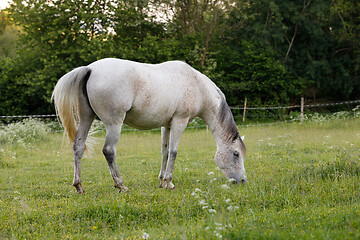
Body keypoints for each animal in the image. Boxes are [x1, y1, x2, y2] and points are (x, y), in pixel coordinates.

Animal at [52, 58, 246, 193]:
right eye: (236, 154)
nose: (243, 181)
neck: (197, 86)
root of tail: (90, 69)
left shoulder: (166, 125)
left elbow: (164, 152)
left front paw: (161, 181)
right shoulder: (179, 122)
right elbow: (173, 152)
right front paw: (169, 182)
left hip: (86, 118)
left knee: (78, 146)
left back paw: (79, 186)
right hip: (114, 124)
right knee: (108, 151)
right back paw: (121, 185)